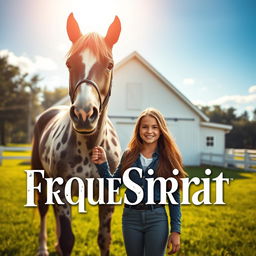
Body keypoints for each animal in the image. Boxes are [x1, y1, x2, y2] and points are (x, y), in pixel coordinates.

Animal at [31, 13, 121, 256]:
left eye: (109, 64)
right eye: (69, 63)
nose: (83, 114)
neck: (90, 149)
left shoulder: (108, 198)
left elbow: (104, 239)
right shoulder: (60, 191)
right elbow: (68, 239)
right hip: (41, 178)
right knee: (43, 209)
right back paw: (43, 247)